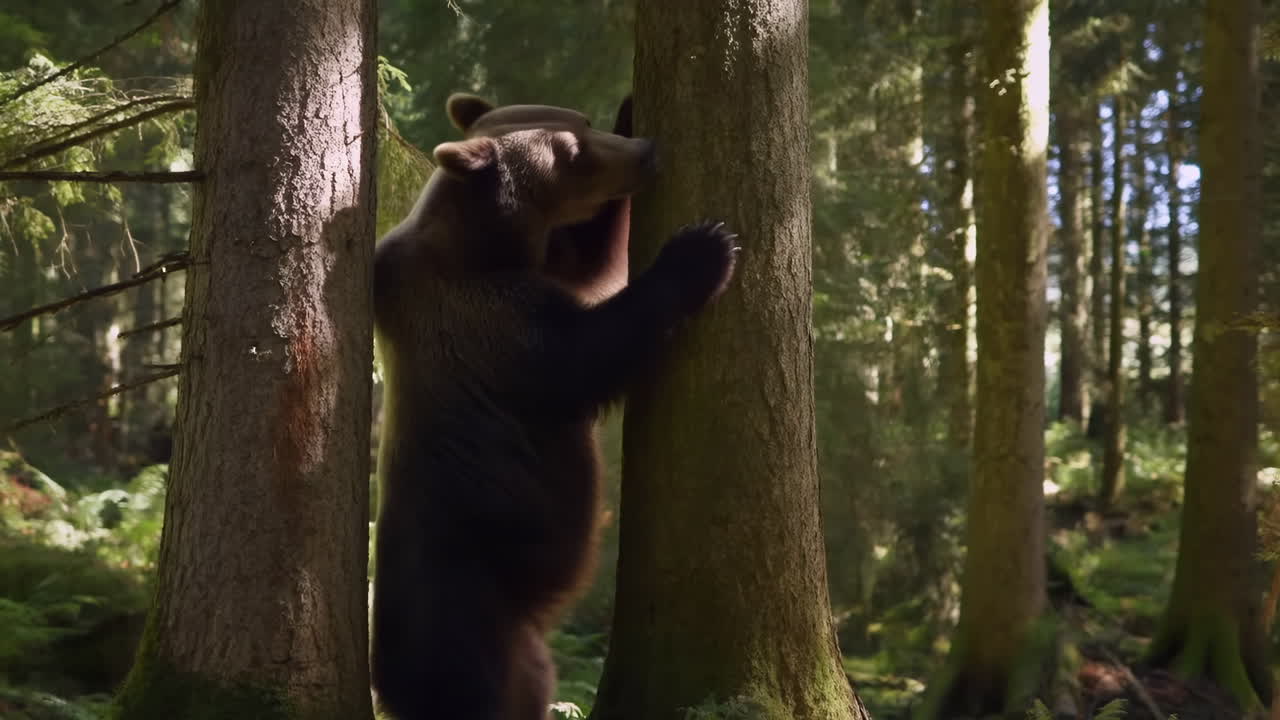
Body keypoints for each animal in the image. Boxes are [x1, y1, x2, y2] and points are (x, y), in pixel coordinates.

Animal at [370, 92, 739, 720]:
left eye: (582, 125)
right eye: (571, 154)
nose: (645, 152)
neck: (484, 246)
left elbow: (588, 259)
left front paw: (630, 107)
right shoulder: (496, 326)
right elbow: (592, 349)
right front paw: (703, 250)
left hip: (521, 650)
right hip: (466, 614)